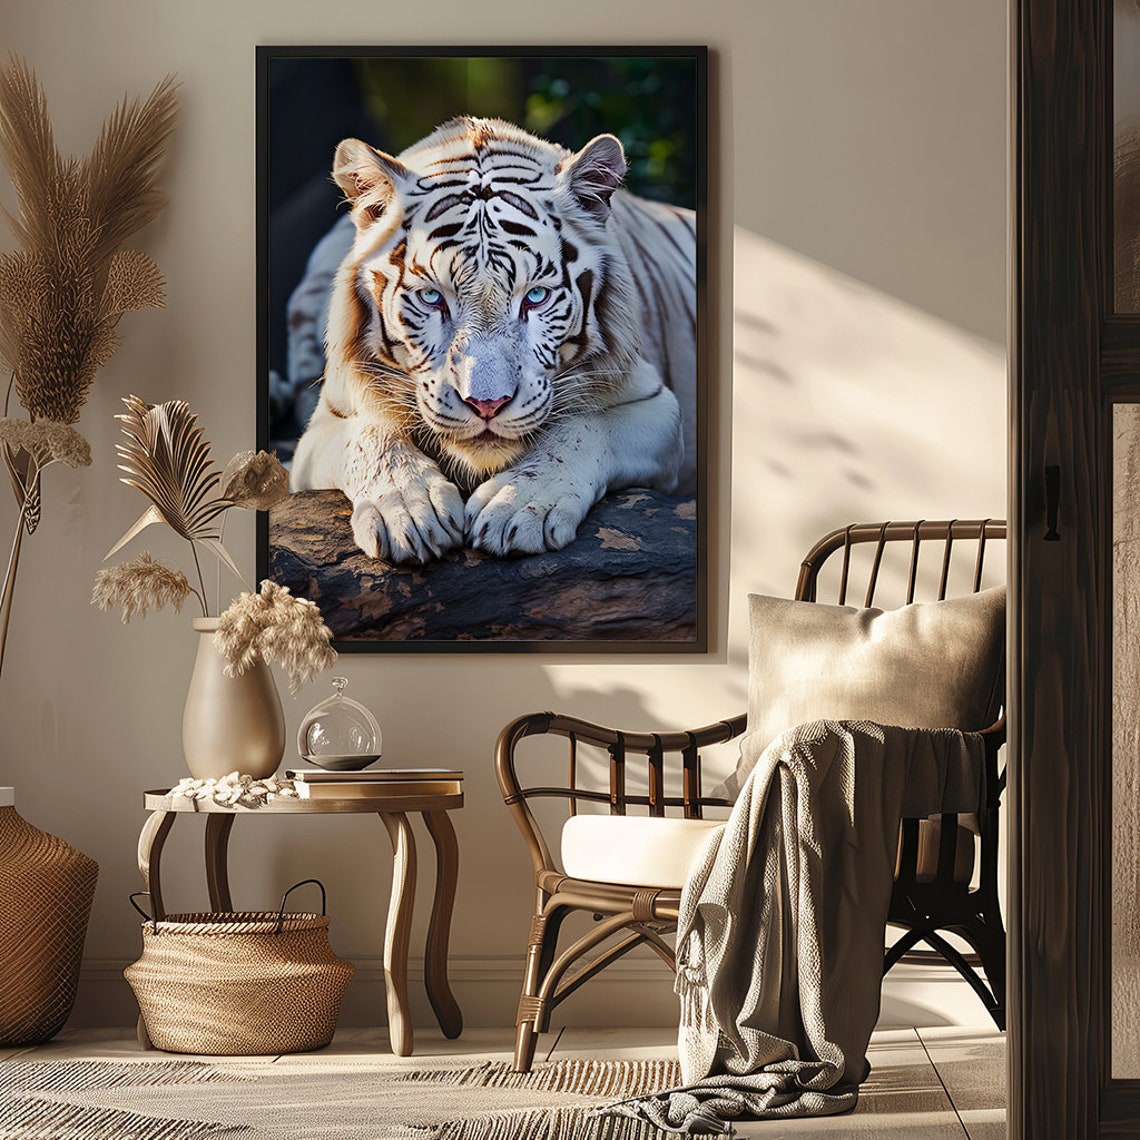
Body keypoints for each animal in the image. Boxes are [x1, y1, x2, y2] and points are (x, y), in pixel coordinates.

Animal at [290, 116, 697, 565]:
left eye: (535, 296)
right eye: (432, 297)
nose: (487, 404)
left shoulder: (656, 408)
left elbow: (582, 428)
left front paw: (517, 505)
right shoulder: (321, 430)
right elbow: (373, 438)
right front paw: (411, 514)